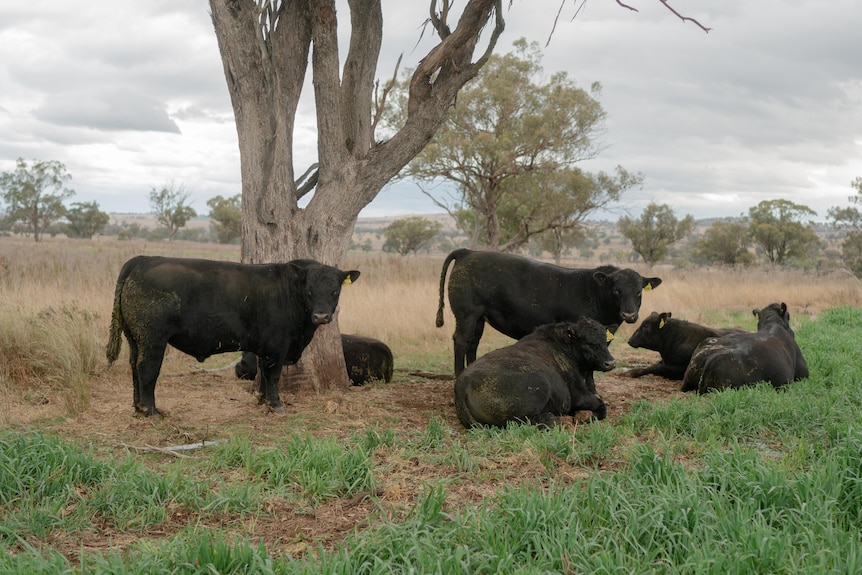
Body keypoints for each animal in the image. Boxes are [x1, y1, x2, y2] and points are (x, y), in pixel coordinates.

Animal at [105, 255, 362, 414]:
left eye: (335, 290)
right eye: (309, 290)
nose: (321, 316)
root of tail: (143, 260)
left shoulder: (265, 348)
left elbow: (263, 375)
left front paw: (261, 400)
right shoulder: (277, 347)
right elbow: (273, 376)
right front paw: (276, 405)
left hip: (134, 338)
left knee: (134, 367)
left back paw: (137, 406)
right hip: (153, 339)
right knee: (146, 369)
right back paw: (151, 410)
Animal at [438, 249, 660, 376]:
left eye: (639, 291)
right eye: (616, 290)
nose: (629, 315)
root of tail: (469, 252)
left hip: (479, 318)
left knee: (473, 342)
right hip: (466, 314)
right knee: (461, 341)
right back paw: (459, 375)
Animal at [456, 318, 616, 430]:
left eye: (605, 340)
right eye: (586, 342)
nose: (610, 362)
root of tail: (463, 382)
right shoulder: (579, 395)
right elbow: (601, 407)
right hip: (541, 387)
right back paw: (563, 421)